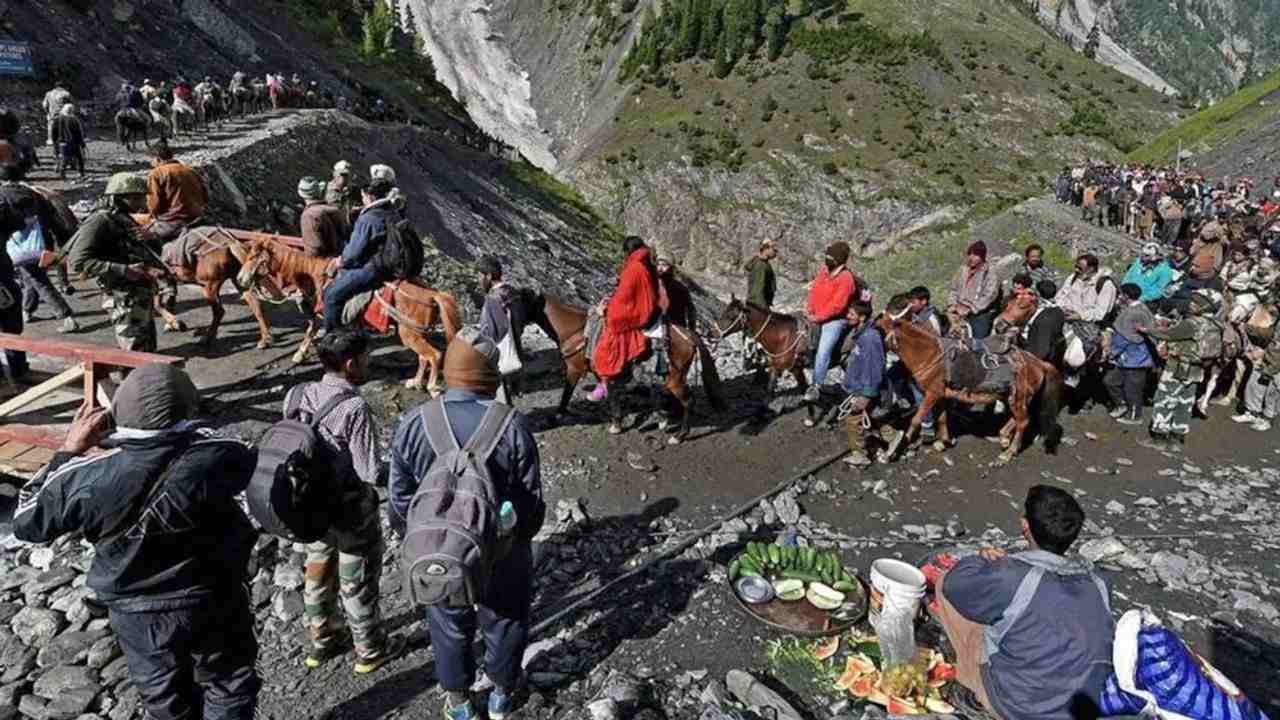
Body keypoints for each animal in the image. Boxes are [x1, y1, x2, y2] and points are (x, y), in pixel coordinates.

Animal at [238, 238, 463, 389]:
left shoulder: (326, 314)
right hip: (415, 333)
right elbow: (318, 333)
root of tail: (432, 294)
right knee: (424, 357)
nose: (240, 279)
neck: (315, 274)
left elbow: (316, 331)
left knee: (433, 355)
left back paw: (431, 386)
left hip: (409, 333)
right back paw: (415, 382)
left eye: (253, 257)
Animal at [514, 288, 727, 440]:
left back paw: (679, 435)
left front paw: (556, 416)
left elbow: (567, 394)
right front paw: (617, 421)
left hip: (674, 377)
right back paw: (665, 419)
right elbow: (611, 393)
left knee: (688, 401)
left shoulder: (574, 369)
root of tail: (689, 335)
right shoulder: (602, 371)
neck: (575, 329)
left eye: (519, 301)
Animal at [875, 293, 1064, 466]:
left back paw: (1008, 452)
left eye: (879, 328)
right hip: (1013, 397)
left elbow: (916, 419)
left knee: (1023, 421)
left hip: (1019, 397)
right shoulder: (942, 395)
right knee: (1018, 419)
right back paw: (1004, 437)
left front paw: (894, 451)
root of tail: (1038, 362)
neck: (930, 354)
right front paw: (943, 441)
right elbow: (942, 418)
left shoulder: (932, 394)